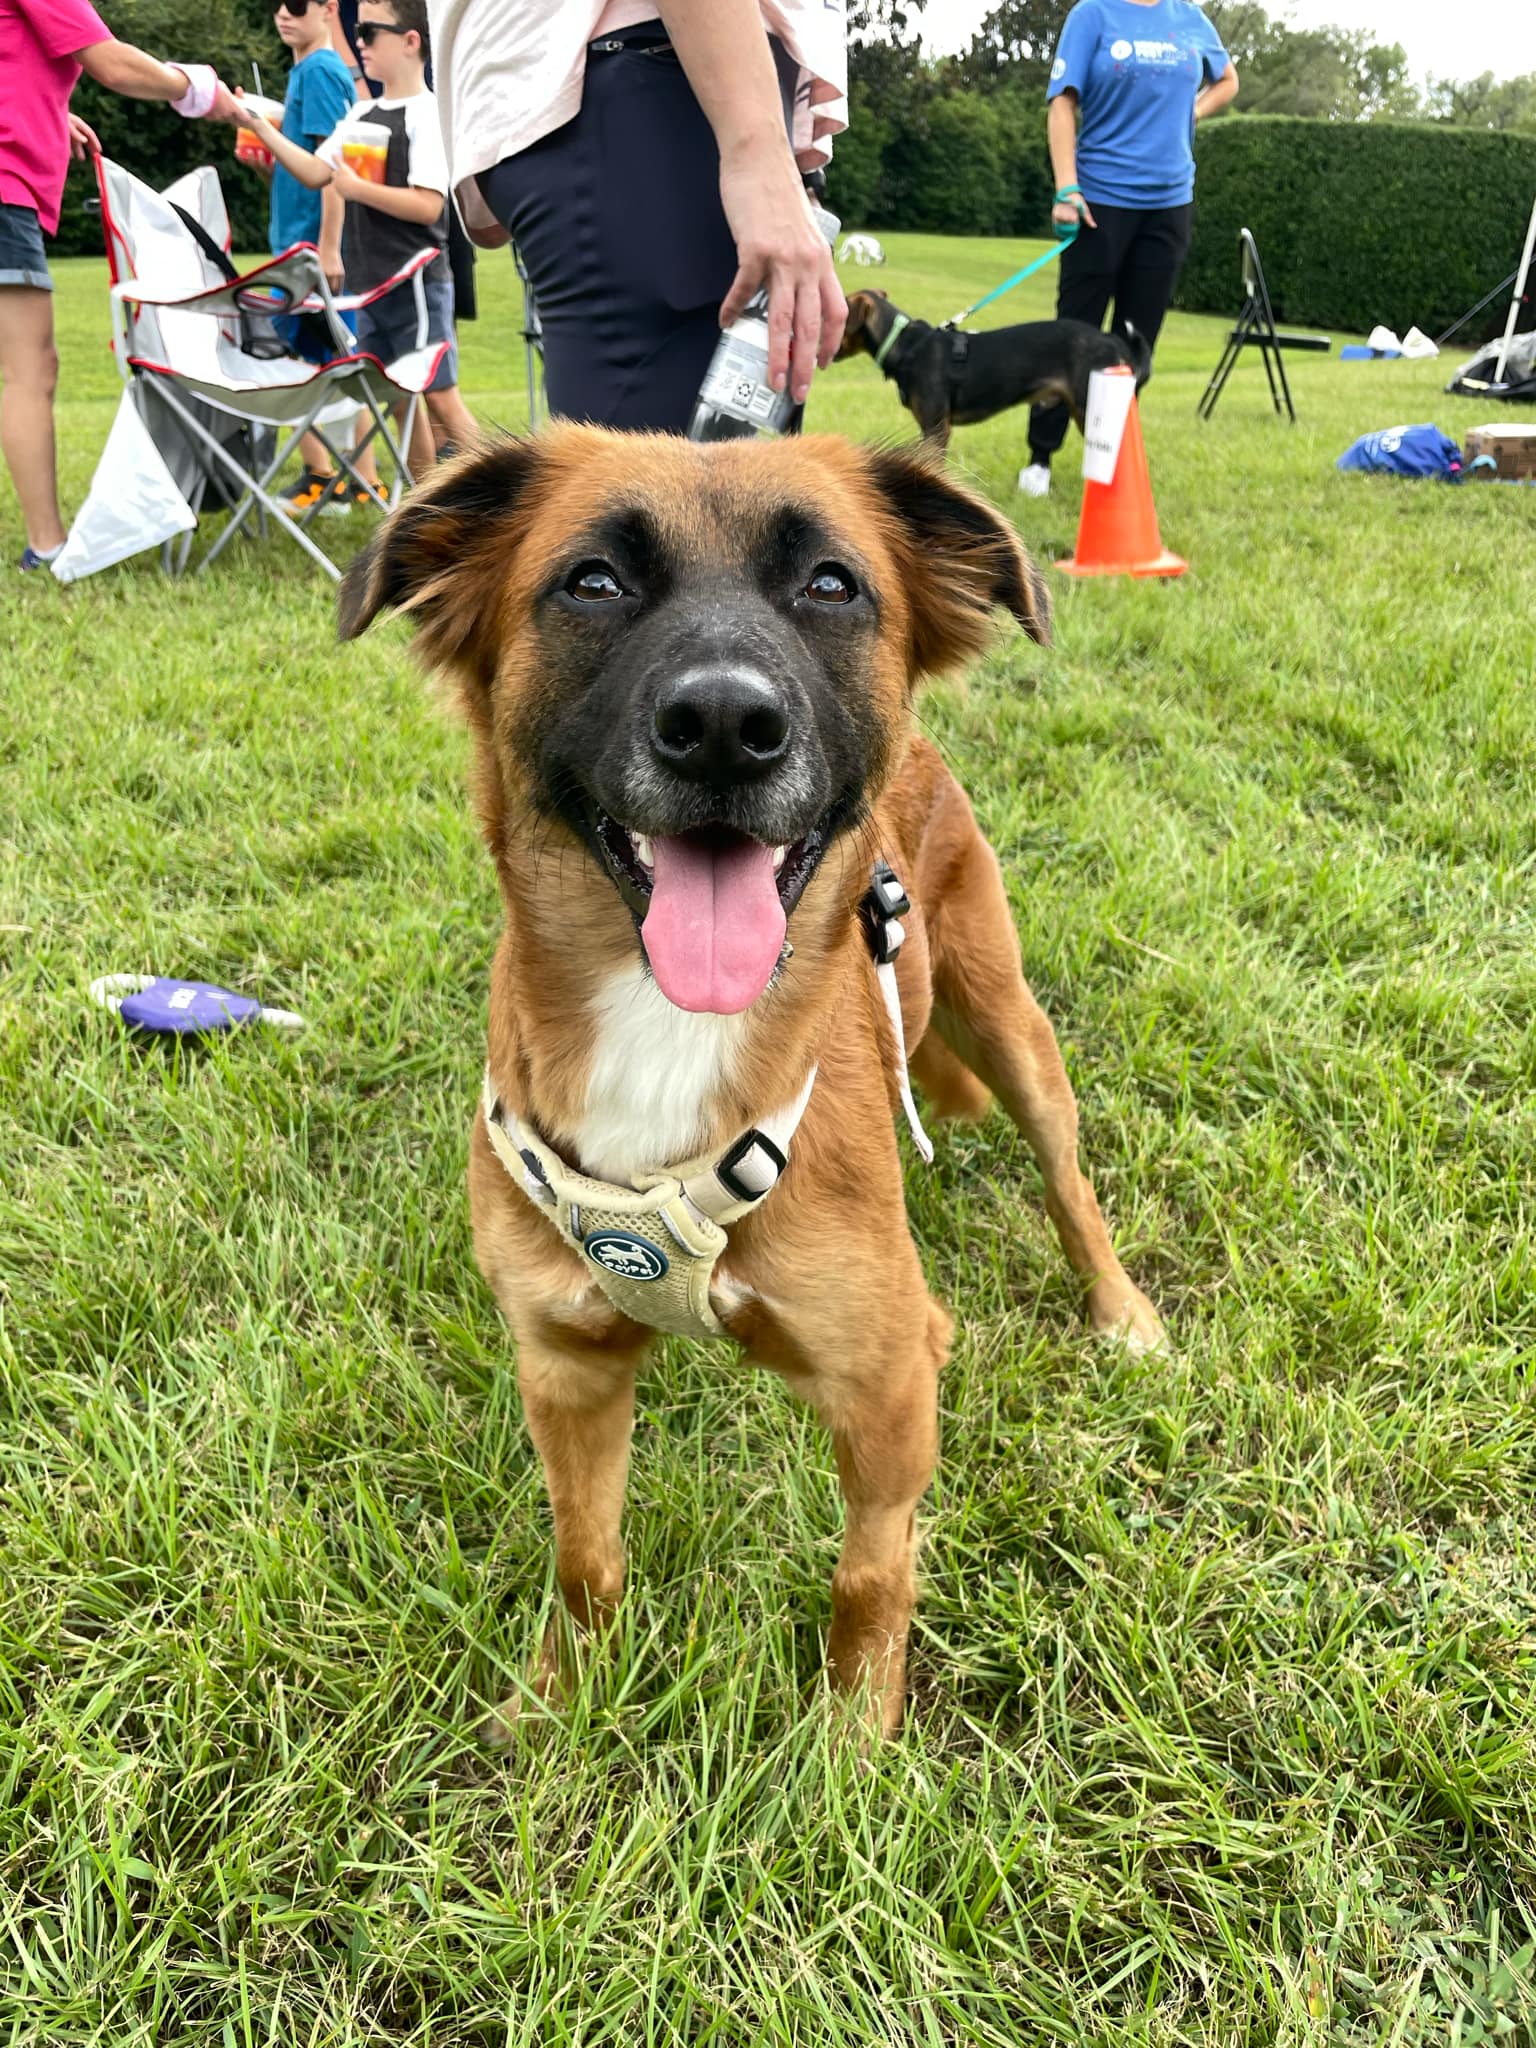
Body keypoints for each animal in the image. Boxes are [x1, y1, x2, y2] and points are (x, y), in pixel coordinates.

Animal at [342, 423, 1163, 1736]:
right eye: (592, 580)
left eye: (832, 584)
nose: (726, 723)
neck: (669, 1033)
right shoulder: (564, 1364)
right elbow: (583, 1553)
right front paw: (563, 1697)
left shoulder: (882, 1387)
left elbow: (872, 1571)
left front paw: (853, 1732)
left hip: (1013, 1029)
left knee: (1069, 1184)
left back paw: (1123, 1311)